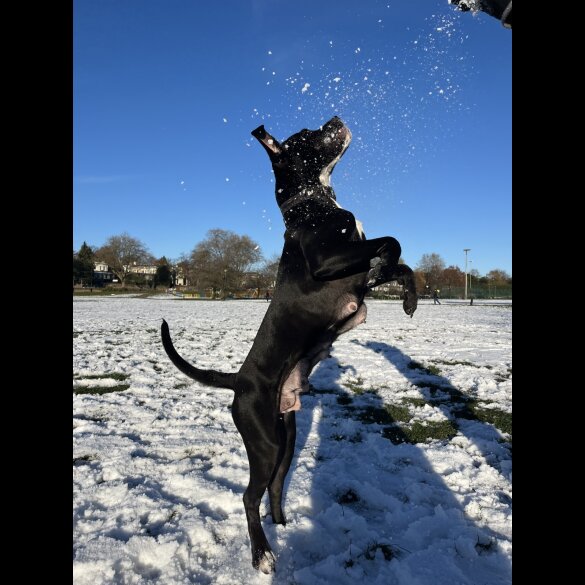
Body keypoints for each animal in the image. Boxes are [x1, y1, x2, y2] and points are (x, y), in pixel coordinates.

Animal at [160, 116, 416, 572]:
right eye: (306, 135)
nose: (334, 119)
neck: (313, 203)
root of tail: (237, 380)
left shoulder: (355, 269)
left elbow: (396, 260)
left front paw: (409, 297)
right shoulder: (327, 262)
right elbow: (391, 241)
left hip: (287, 438)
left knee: (275, 487)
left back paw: (283, 526)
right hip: (264, 443)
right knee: (250, 495)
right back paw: (262, 554)